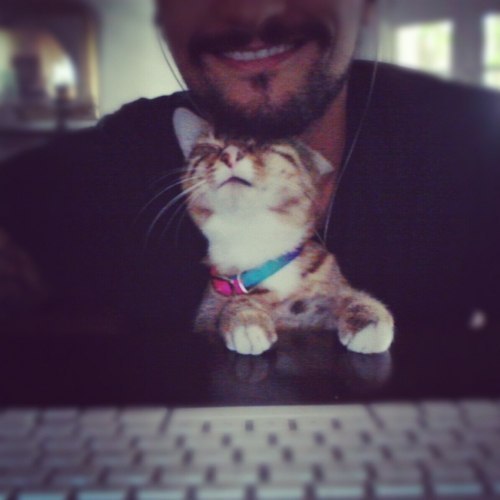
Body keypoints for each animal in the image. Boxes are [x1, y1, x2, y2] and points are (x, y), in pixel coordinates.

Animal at [173, 107, 394, 356]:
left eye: (264, 144)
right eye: (210, 147)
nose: (229, 154)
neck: (254, 241)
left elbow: (347, 295)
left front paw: (367, 316)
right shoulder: (207, 313)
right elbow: (233, 305)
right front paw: (246, 317)